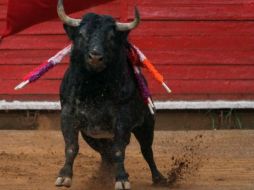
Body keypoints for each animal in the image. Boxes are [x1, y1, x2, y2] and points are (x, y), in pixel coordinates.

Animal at [55, 1, 167, 189]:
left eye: (111, 37)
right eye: (82, 34)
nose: (95, 56)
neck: (94, 88)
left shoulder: (122, 119)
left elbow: (118, 150)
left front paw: (121, 179)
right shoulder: (68, 114)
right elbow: (71, 147)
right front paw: (64, 176)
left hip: (146, 124)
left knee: (146, 150)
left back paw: (159, 178)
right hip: (92, 136)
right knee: (105, 154)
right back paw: (103, 175)